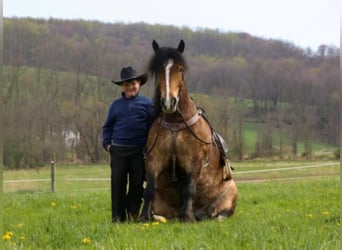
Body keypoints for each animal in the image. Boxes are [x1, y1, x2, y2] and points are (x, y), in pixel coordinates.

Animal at [139, 40, 238, 222]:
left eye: (180, 69)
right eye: (158, 70)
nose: (169, 102)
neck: (175, 124)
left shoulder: (195, 161)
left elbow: (189, 189)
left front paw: (187, 217)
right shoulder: (154, 159)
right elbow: (149, 190)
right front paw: (143, 217)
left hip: (229, 193)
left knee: (218, 214)